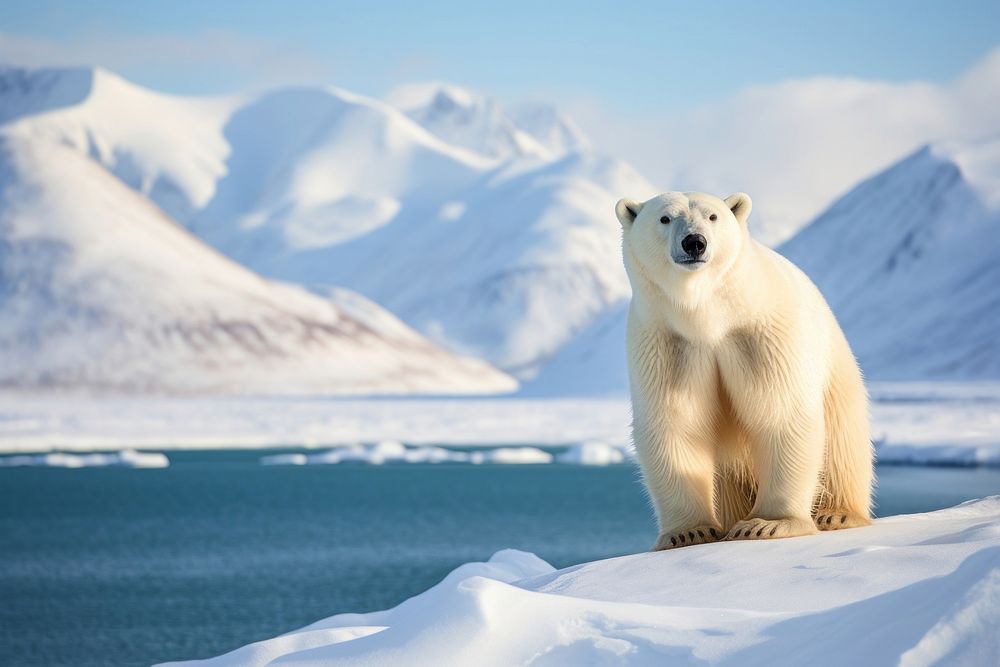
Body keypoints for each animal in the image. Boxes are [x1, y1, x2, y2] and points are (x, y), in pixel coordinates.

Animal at [612, 192, 872, 548]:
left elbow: (781, 412)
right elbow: (675, 422)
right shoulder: (667, 345)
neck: (707, 316)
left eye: (712, 216)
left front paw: (767, 524)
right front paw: (689, 532)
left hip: (838, 372)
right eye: (665, 218)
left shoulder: (762, 335)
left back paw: (837, 514)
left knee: (841, 444)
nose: (695, 242)